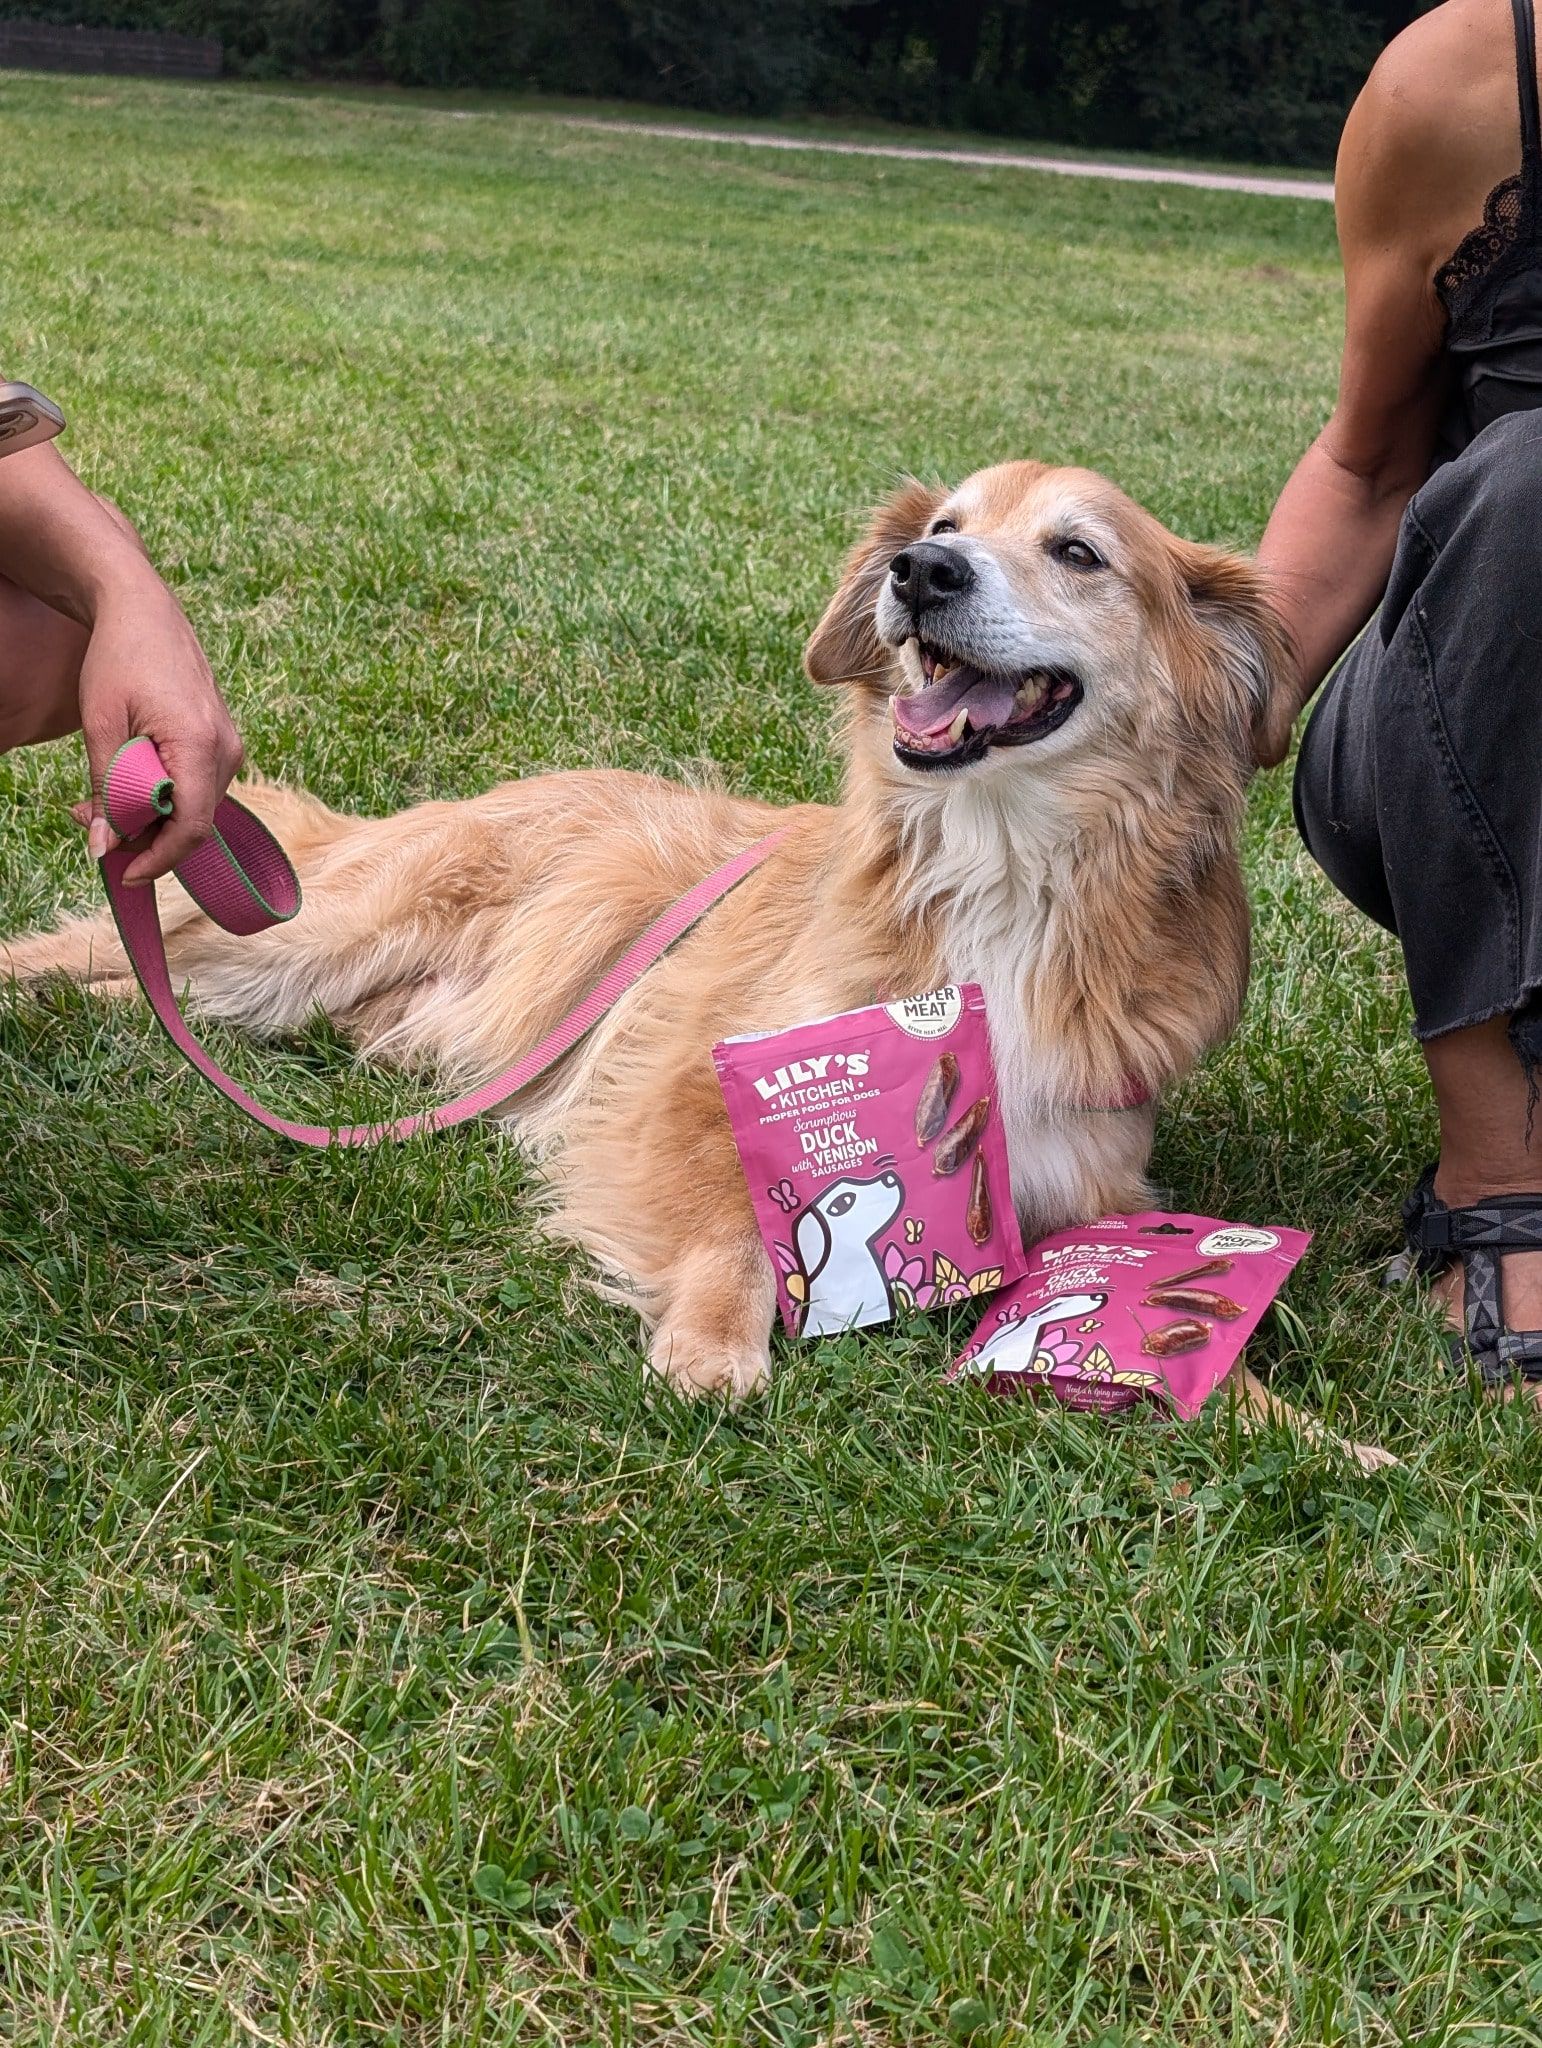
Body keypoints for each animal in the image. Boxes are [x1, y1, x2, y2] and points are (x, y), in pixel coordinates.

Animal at [0, 458, 1392, 1466]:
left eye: (1078, 551)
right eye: (948, 520)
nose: (920, 570)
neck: (1000, 871)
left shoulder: (1087, 1174)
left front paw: (1312, 1433)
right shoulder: (678, 1078)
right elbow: (726, 1220)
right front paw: (718, 1343)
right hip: (313, 939)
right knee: (109, 952)